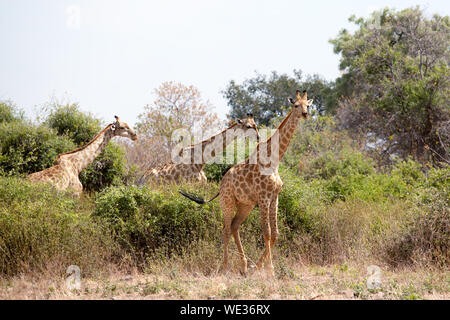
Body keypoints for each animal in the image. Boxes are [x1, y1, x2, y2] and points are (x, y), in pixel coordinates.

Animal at [179, 89, 312, 276]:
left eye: (308, 105)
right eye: (296, 105)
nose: (305, 114)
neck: (274, 160)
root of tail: (221, 185)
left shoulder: (274, 197)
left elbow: (276, 233)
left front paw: (258, 267)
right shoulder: (263, 197)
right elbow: (266, 232)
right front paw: (270, 269)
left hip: (245, 205)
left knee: (235, 226)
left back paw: (244, 266)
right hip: (227, 202)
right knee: (226, 229)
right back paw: (226, 267)